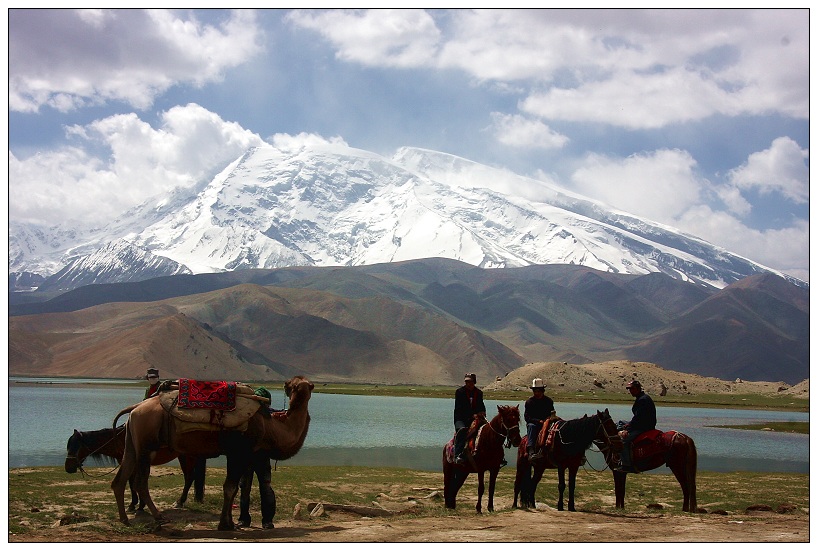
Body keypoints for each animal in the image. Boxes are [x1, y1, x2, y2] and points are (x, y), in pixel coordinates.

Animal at [65, 426, 206, 512]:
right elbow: (132, 483)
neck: (121, 439)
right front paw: (138, 504)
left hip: (187, 456)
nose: (68, 468)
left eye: (75, 446)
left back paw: (180, 502)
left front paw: (135, 505)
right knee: (189, 477)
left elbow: (133, 483)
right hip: (183, 456)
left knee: (189, 477)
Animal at [109, 376, 312, 532]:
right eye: (294, 384)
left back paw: (125, 519)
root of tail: (134, 409)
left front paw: (233, 522)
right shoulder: (238, 452)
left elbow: (238, 487)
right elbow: (230, 487)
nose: (288, 384)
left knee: (120, 480)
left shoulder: (245, 454)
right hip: (146, 445)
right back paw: (159, 517)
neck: (270, 426)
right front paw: (225, 525)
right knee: (140, 482)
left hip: (132, 443)